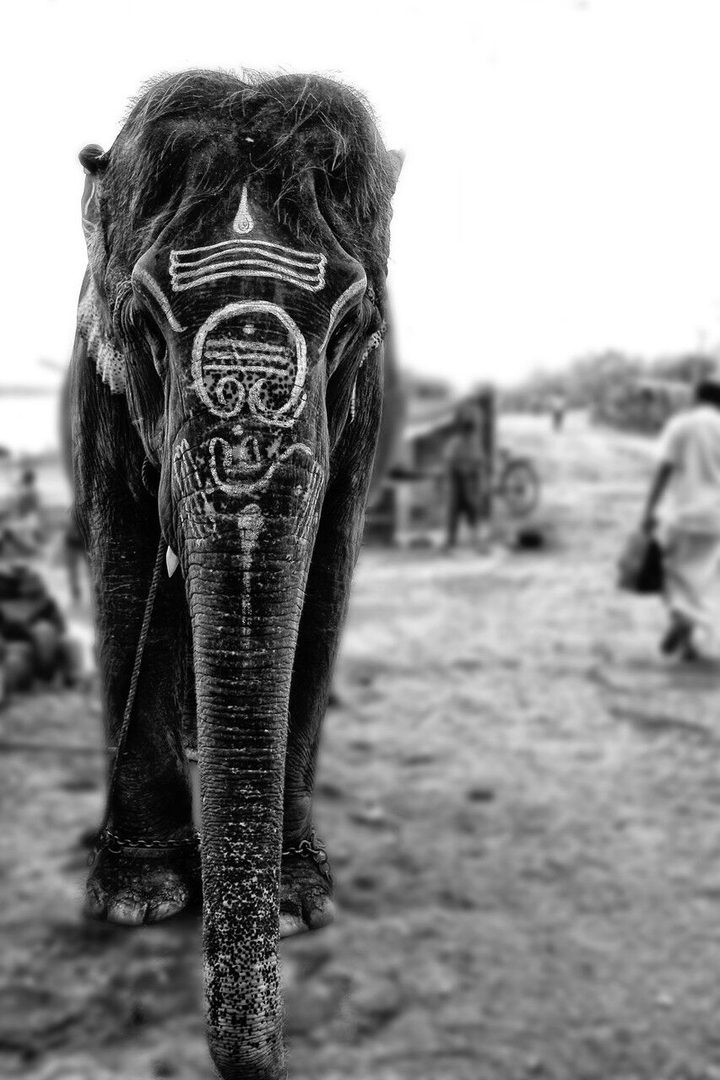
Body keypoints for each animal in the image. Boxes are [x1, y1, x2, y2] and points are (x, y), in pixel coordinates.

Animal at [68, 70, 401, 1080]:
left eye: (355, 327)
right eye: (143, 324)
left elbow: (326, 577)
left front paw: (297, 906)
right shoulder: (99, 381)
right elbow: (124, 559)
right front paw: (137, 901)